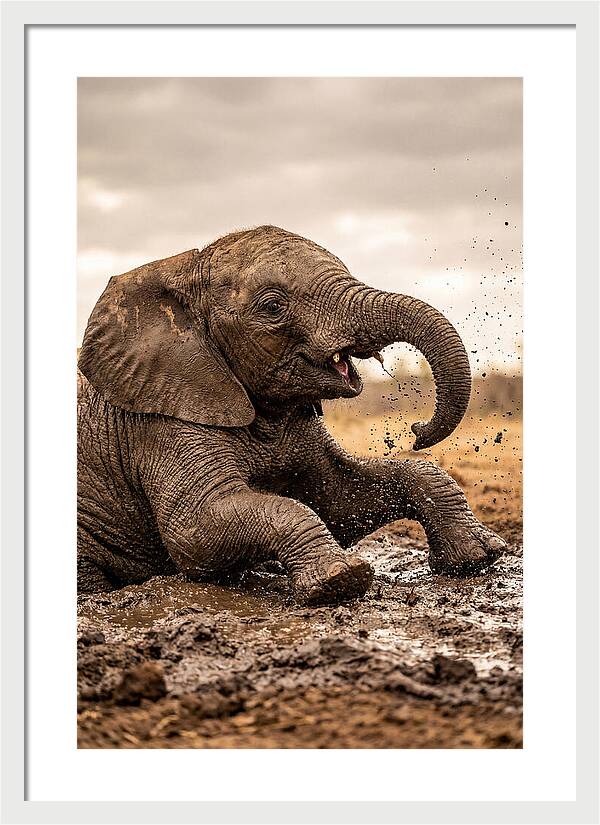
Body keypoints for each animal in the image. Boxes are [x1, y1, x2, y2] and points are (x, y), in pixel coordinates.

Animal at [77, 225, 506, 604]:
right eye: (272, 306)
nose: (417, 431)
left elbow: (339, 499)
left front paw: (480, 556)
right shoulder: (162, 422)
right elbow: (195, 531)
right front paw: (340, 580)